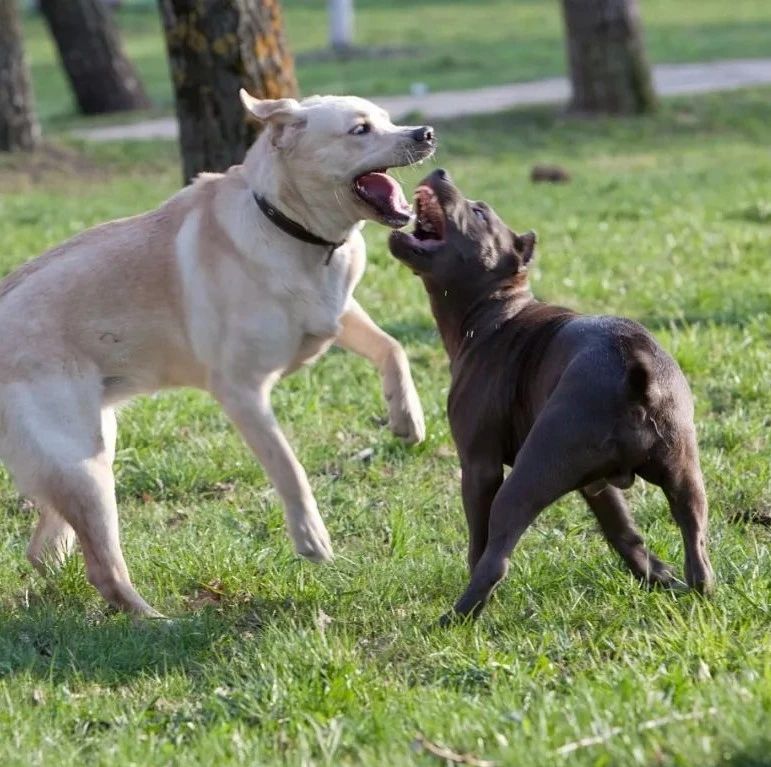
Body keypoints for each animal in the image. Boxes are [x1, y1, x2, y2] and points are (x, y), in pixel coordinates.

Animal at [0, 91, 434, 616]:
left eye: (388, 119)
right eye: (360, 130)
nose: (425, 133)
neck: (289, 227)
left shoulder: (339, 312)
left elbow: (392, 347)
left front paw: (407, 416)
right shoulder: (241, 391)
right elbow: (288, 467)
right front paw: (312, 538)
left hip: (91, 446)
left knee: (47, 547)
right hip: (83, 466)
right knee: (103, 568)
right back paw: (156, 621)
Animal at [392, 170, 716, 624]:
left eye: (478, 212)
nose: (441, 172)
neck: (494, 309)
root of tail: (633, 363)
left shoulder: (479, 467)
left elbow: (478, 541)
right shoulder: (596, 485)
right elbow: (622, 530)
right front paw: (655, 576)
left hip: (525, 480)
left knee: (495, 558)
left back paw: (457, 617)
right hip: (684, 475)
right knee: (696, 545)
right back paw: (693, 591)